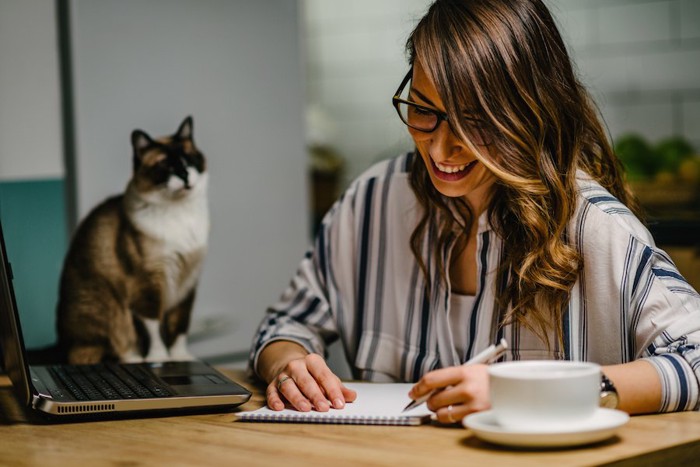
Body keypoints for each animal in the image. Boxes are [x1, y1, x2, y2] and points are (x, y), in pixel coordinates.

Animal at [56, 117, 209, 366]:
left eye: (188, 159)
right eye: (166, 166)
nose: (185, 175)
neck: (181, 214)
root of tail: (59, 345)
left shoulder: (188, 283)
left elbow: (179, 327)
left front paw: (181, 359)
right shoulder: (148, 284)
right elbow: (154, 329)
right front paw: (160, 360)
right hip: (108, 310)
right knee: (107, 350)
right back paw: (136, 360)